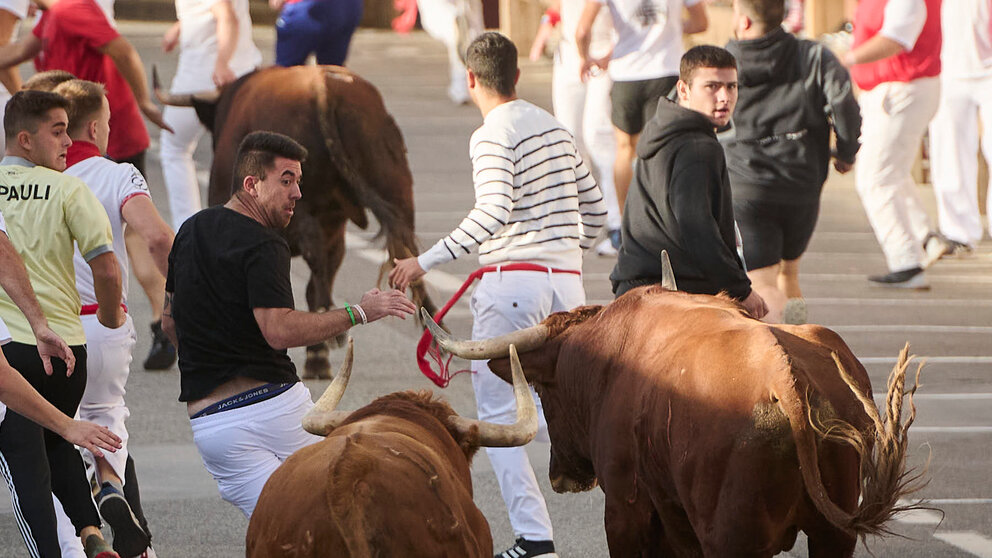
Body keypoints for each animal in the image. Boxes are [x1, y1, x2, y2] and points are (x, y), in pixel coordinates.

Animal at [154, 68, 434, 378]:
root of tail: (322, 85)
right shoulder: (334, 227)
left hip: (305, 210)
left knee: (318, 258)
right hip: (394, 188)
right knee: (404, 252)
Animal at [426, 264, 928, 558]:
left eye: (543, 390)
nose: (562, 477)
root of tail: (785, 377)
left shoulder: (625, 509)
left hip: (732, 539)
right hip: (833, 535)